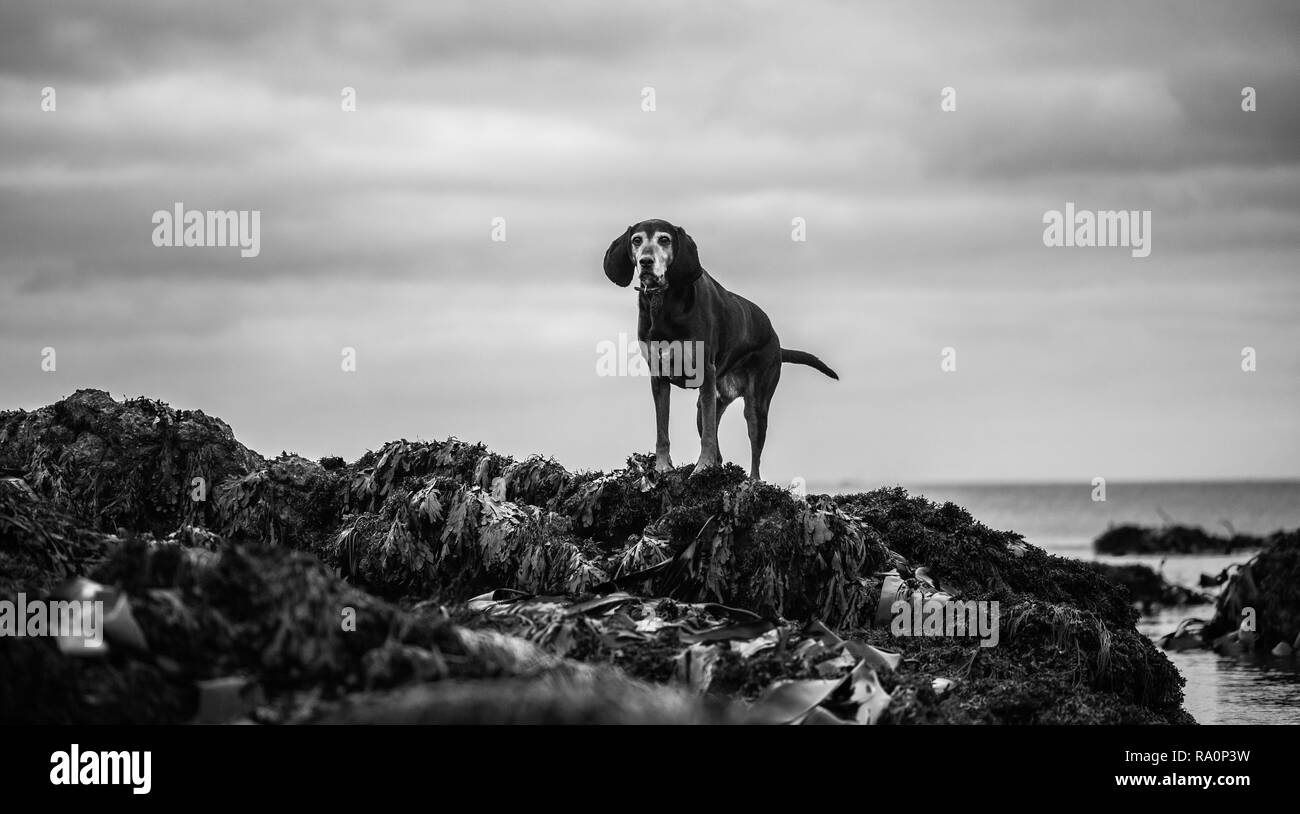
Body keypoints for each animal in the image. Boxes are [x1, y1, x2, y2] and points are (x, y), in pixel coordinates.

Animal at [603, 218, 837, 478]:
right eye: (637, 240)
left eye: (664, 239)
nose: (645, 261)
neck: (663, 301)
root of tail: (776, 342)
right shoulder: (658, 376)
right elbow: (662, 431)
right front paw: (663, 466)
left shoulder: (705, 371)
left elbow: (707, 438)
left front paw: (702, 468)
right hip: (709, 403)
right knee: (714, 436)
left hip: (756, 405)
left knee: (753, 456)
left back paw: (751, 480)